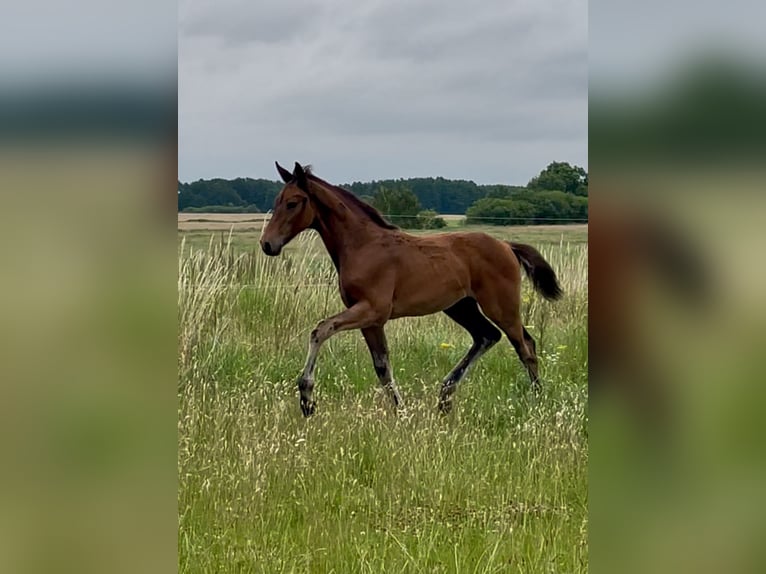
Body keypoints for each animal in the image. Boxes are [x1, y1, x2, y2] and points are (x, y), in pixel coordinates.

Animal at [260, 162, 562, 416]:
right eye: (276, 201)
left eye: (292, 203)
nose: (267, 244)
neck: (362, 246)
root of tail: (506, 246)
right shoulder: (370, 320)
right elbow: (382, 367)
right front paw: (401, 413)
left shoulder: (373, 310)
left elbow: (321, 329)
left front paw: (307, 398)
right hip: (460, 306)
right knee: (488, 336)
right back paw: (445, 397)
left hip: (501, 305)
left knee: (524, 346)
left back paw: (538, 402)